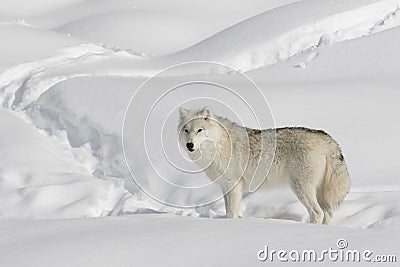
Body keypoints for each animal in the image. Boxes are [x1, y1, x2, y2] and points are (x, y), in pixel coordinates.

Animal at [178, 107, 350, 224]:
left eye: (200, 130)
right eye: (186, 130)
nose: (189, 145)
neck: (219, 145)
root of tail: (326, 138)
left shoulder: (233, 186)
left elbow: (232, 213)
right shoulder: (225, 187)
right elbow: (228, 211)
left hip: (301, 188)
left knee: (317, 213)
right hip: (318, 191)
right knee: (328, 213)